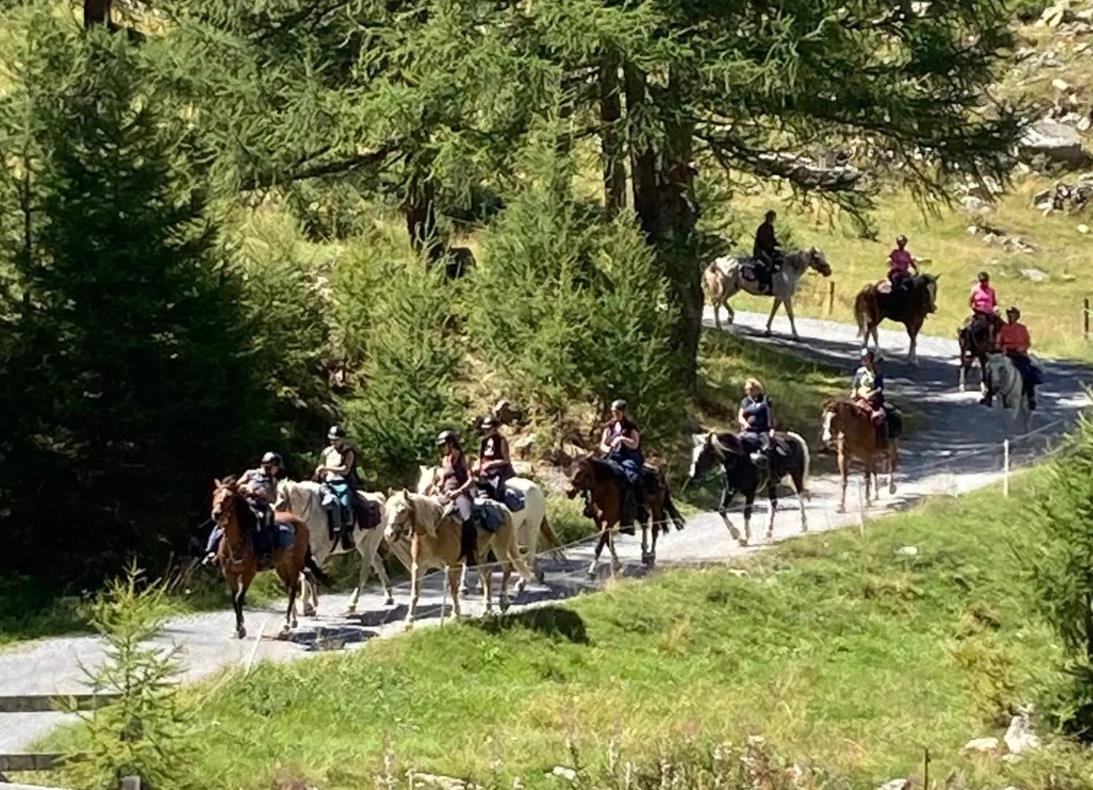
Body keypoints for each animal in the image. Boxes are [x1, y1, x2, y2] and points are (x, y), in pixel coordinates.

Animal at [205, 478, 321, 638]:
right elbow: (234, 599)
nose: (216, 514)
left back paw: (285, 625)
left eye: (229, 497)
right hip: (282, 566)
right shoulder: (229, 574)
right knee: (294, 585)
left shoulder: (248, 573)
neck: (237, 542)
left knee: (293, 589)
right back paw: (294, 620)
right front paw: (238, 627)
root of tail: (301, 523)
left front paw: (241, 629)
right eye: (214, 493)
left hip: (294, 563)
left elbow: (239, 598)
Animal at [275, 478, 395, 616]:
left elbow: (307, 575)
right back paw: (388, 597)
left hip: (370, 544)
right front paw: (308, 606)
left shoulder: (319, 553)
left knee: (364, 572)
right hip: (363, 544)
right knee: (378, 563)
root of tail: (378, 498)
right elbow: (304, 574)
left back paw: (351, 604)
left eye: (281, 505)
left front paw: (306, 606)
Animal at [382, 491, 531, 629]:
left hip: (499, 547)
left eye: (403, 510)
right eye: (387, 510)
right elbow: (415, 594)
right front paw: (409, 621)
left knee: (507, 569)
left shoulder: (452, 565)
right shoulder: (418, 567)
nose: (389, 535)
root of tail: (502, 507)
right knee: (487, 575)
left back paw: (503, 601)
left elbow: (453, 590)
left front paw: (455, 615)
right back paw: (487, 609)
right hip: (480, 555)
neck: (434, 533)